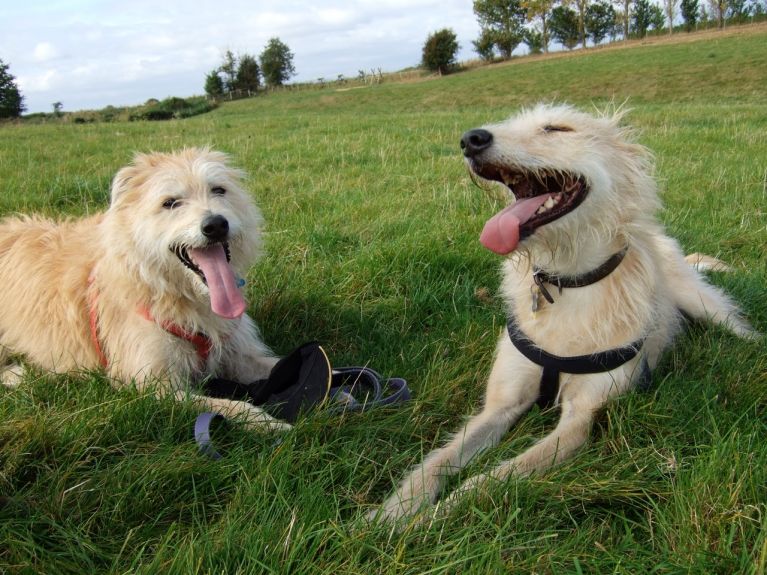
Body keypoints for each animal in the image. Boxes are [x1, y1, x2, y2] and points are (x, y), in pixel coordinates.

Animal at [0, 148, 288, 432]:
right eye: (170, 202)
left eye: (219, 190)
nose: (216, 225)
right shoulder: (153, 389)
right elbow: (227, 406)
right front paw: (270, 423)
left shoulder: (239, 355)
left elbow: (282, 363)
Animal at [376, 104, 760, 528]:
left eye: (557, 128)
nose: (470, 139)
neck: (568, 282)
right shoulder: (499, 405)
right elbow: (437, 461)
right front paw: (392, 512)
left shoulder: (579, 421)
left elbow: (491, 478)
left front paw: (430, 520)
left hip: (705, 305)